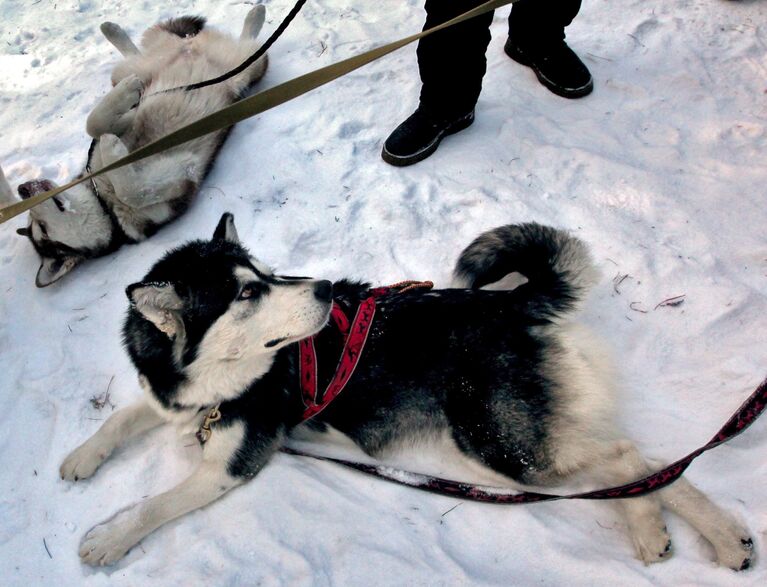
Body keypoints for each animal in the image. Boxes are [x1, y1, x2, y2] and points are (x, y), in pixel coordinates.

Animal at [0, 6, 270, 288]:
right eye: (40, 227)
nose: (22, 189)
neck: (104, 199)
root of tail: (188, 45)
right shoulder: (179, 183)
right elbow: (134, 189)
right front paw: (113, 150)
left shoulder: (121, 125)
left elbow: (94, 124)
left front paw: (112, 134)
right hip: (244, 65)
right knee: (248, 44)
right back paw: (256, 14)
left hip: (146, 68)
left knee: (135, 57)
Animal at [61, 215, 756, 568]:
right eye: (249, 292)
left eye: (266, 274)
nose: (319, 288)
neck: (210, 383)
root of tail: (508, 302)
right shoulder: (168, 402)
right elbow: (121, 419)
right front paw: (79, 459)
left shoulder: (231, 464)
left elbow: (156, 505)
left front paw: (107, 538)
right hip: (526, 432)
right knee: (648, 459)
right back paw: (706, 535)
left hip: (499, 446)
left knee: (622, 459)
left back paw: (668, 530)